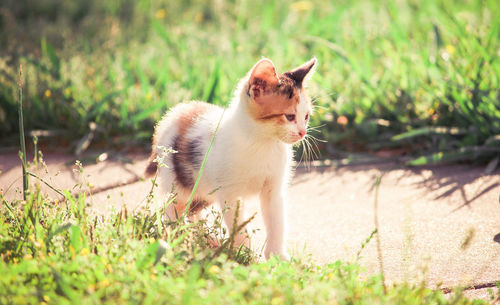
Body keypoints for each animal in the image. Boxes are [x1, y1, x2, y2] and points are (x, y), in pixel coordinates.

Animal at [145, 57, 316, 258]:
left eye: (306, 116)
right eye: (289, 116)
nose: (302, 133)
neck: (263, 143)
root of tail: (173, 114)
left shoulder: (273, 189)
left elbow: (276, 223)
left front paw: (277, 256)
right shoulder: (229, 193)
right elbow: (238, 226)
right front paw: (242, 254)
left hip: (204, 189)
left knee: (192, 210)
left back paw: (204, 238)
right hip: (182, 180)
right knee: (172, 208)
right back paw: (179, 239)